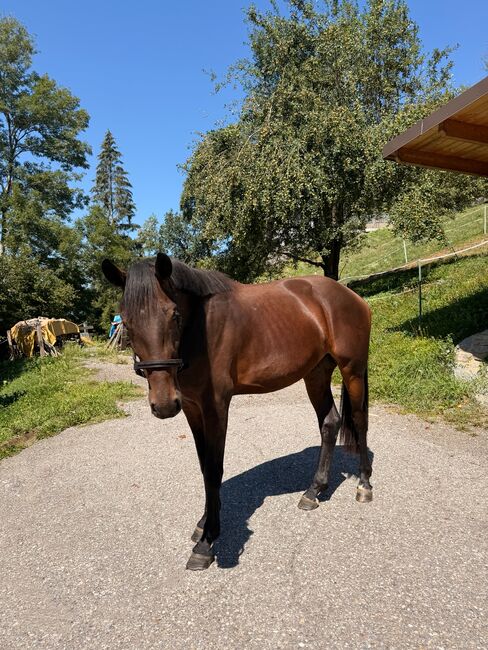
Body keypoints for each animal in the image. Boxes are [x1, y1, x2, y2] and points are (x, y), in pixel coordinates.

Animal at [102, 253, 372, 571]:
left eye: (174, 315)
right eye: (126, 323)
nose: (164, 404)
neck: (201, 328)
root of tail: (351, 296)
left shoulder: (216, 406)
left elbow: (213, 469)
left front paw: (206, 542)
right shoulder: (192, 407)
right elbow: (204, 466)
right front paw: (204, 523)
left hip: (352, 370)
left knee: (359, 422)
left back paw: (364, 485)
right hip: (316, 373)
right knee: (329, 423)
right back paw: (313, 491)